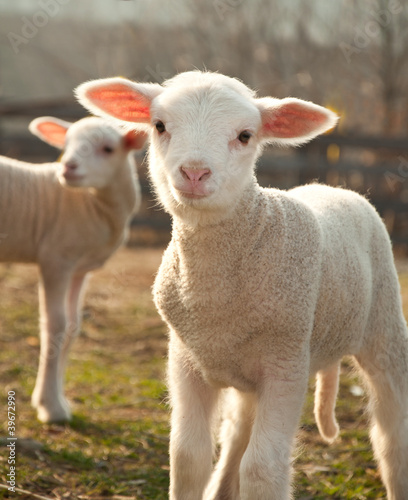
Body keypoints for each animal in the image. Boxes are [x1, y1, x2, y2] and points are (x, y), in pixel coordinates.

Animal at [0, 115, 147, 424]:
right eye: (65, 145)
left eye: (108, 149)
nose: (68, 166)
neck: (89, 203)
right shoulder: (56, 260)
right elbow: (55, 326)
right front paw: (50, 406)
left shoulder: (81, 268)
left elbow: (72, 327)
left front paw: (59, 400)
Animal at [77, 71, 408, 500]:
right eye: (160, 125)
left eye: (246, 135)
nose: (194, 173)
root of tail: (332, 187)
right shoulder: (186, 358)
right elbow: (188, 457)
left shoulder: (286, 365)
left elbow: (263, 469)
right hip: (248, 374)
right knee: (237, 432)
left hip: (384, 327)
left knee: (390, 431)